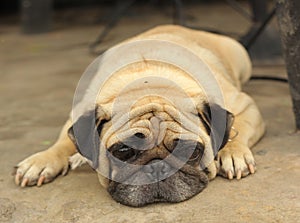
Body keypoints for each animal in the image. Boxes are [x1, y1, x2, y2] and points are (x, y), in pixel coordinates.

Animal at [14, 24, 264, 207]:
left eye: (190, 151)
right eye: (123, 151)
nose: (157, 168)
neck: (147, 84)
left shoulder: (245, 106)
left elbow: (238, 128)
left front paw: (233, 153)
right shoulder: (78, 115)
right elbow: (63, 142)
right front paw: (42, 160)